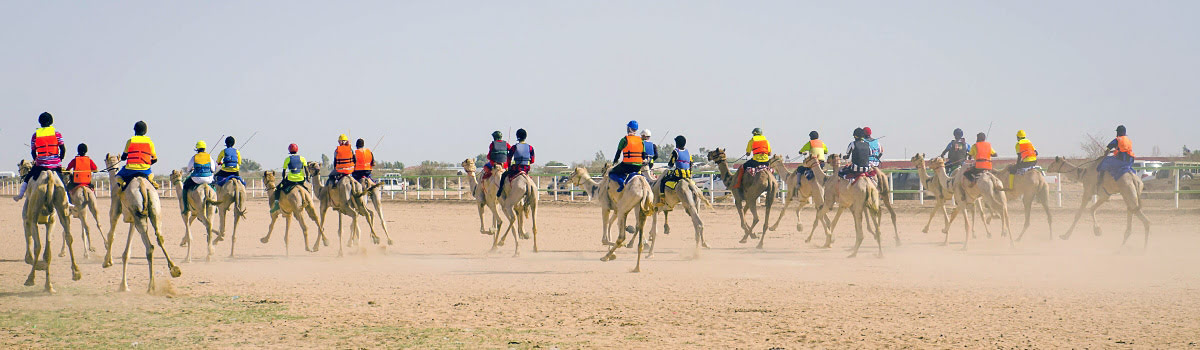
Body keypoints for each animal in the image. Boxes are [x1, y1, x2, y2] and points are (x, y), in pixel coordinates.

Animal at [16, 159, 79, 293]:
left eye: (23, 167)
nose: (21, 176)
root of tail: (49, 177)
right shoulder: (50, 221)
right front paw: (42, 266)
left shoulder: (26, 221)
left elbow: (29, 252)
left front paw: (37, 265)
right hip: (60, 204)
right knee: (65, 238)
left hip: (34, 215)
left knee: (38, 246)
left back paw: (30, 279)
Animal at [98, 153, 178, 292]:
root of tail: (142, 186)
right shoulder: (132, 221)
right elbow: (126, 252)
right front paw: (123, 286)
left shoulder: (115, 210)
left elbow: (111, 235)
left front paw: (107, 262)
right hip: (153, 210)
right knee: (159, 237)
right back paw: (174, 270)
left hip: (137, 212)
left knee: (150, 247)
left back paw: (151, 286)